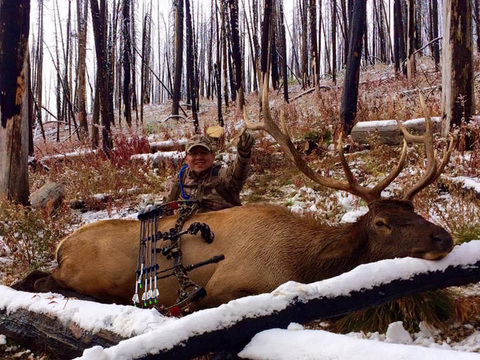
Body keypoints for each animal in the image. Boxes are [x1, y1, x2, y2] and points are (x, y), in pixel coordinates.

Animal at [12, 86, 454, 310]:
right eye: (381, 223)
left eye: (415, 210)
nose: (443, 237)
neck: (305, 261)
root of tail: (62, 244)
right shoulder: (229, 285)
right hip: (85, 273)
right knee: (44, 280)